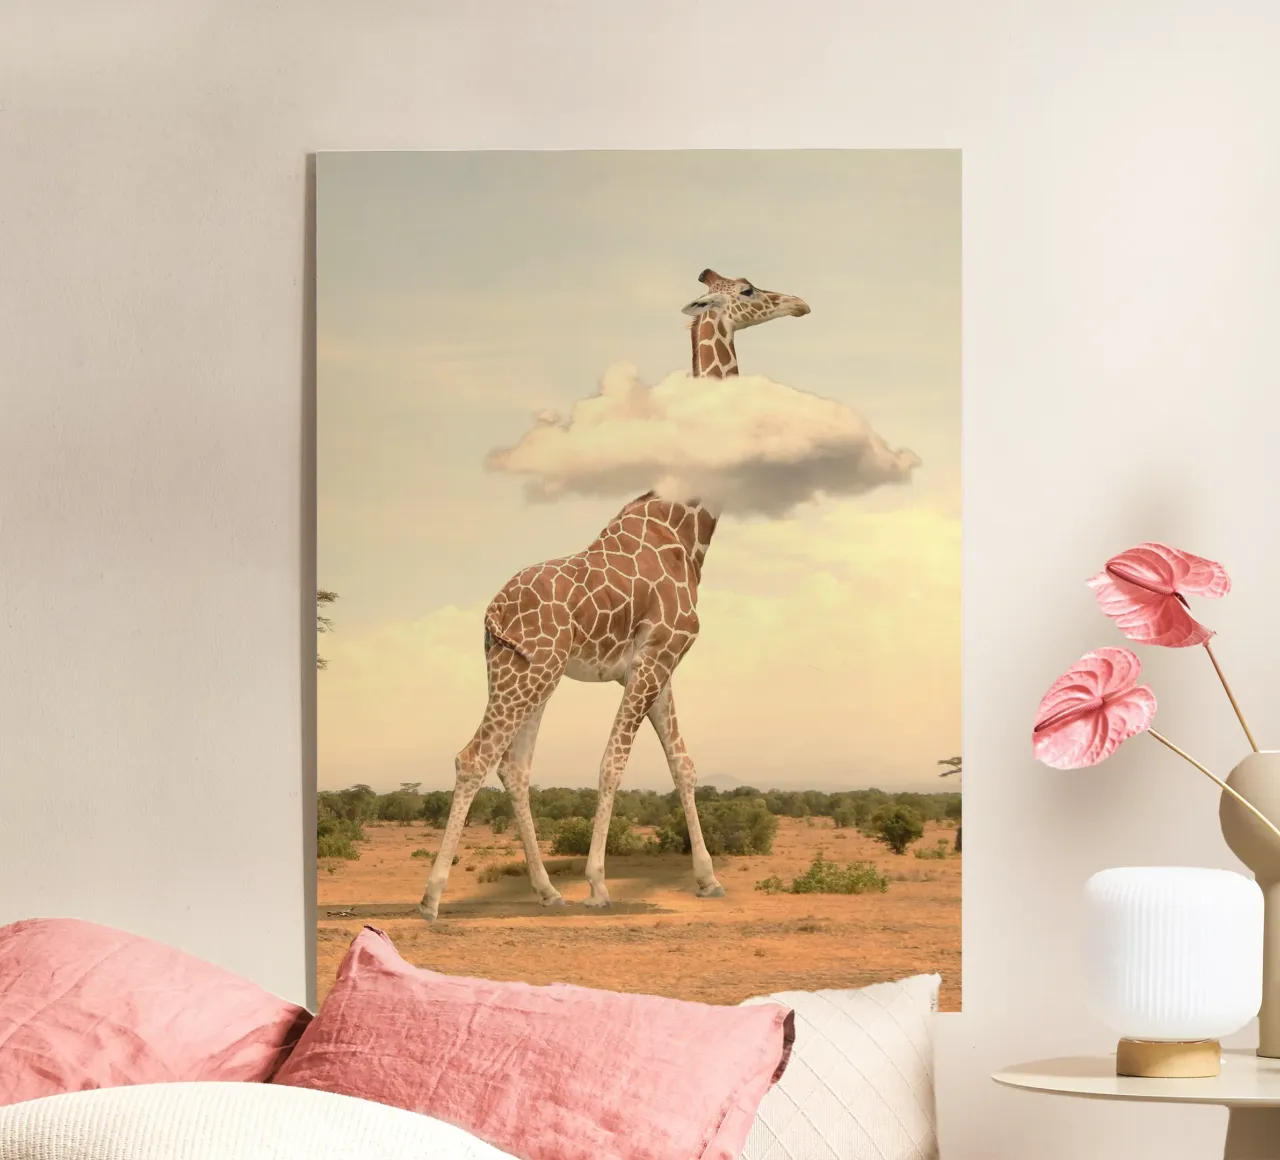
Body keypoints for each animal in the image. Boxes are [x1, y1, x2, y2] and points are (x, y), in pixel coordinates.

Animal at [417, 269, 811, 921]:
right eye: (750, 290)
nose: (800, 303)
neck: (687, 529)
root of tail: (490, 615)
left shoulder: (657, 666)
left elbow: (683, 764)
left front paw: (707, 879)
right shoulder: (654, 660)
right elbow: (612, 764)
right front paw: (600, 884)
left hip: (522, 672)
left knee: (513, 766)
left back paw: (547, 891)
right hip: (531, 673)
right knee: (475, 756)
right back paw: (432, 897)